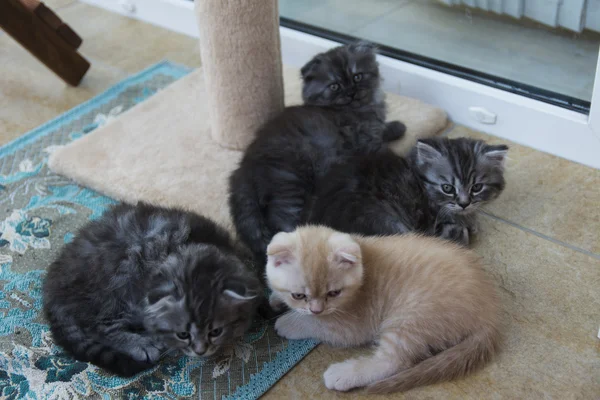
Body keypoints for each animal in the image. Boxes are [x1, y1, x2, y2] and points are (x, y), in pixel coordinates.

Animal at [43, 202, 264, 376]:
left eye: (215, 330)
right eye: (183, 332)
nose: (200, 351)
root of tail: (52, 285)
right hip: (114, 290)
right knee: (98, 327)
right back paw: (142, 344)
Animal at [227, 40, 406, 262]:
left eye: (357, 76)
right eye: (335, 86)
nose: (351, 92)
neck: (356, 110)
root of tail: (244, 167)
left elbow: (384, 128)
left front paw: (397, 126)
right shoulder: (367, 142)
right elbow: (382, 150)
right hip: (291, 180)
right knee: (282, 221)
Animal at [266, 225, 502, 394]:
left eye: (333, 293)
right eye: (298, 295)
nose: (316, 309)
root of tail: (489, 311)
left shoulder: (353, 324)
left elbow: (319, 324)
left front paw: (288, 322)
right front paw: (276, 297)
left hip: (410, 315)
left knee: (393, 361)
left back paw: (344, 374)